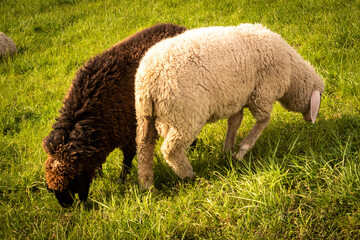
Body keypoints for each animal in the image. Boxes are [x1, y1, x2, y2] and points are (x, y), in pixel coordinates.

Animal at [43, 23, 187, 206]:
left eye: (73, 181)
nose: (69, 206)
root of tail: (179, 27)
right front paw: (100, 175)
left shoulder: (129, 132)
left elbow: (127, 159)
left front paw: (121, 180)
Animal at [136, 23, 326, 190]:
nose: (311, 120)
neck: (291, 74)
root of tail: (150, 78)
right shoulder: (263, 93)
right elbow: (263, 121)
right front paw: (240, 152)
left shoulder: (237, 99)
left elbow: (235, 122)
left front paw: (227, 152)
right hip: (185, 115)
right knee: (171, 150)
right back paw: (189, 175)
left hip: (146, 115)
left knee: (144, 148)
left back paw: (147, 185)